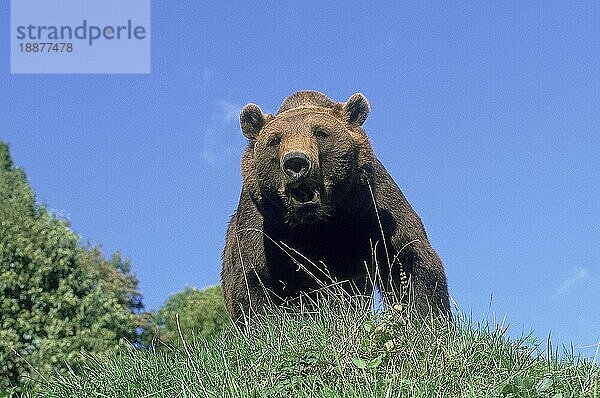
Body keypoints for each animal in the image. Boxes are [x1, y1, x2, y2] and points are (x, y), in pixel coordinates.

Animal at [221, 90, 450, 320]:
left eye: (321, 133)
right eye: (275, 140)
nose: (296, 162)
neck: (318, 222)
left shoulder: (370, 209)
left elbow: (408, 259)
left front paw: (423, 315)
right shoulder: (264, 224)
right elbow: (254, 281)